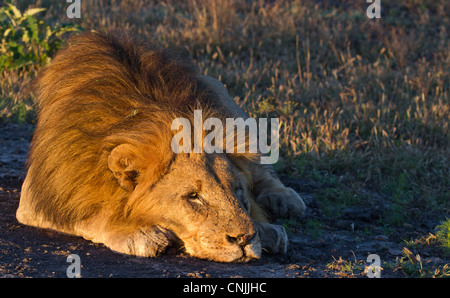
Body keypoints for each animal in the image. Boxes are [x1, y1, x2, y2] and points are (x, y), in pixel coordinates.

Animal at [17, 31, 306, 262]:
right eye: (193, 196)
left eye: (236, 190)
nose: (245, 239)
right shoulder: (41, 193)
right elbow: (89, 214)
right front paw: (140, 234)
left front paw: (265, 229)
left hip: (219, 93)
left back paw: (281, 204)